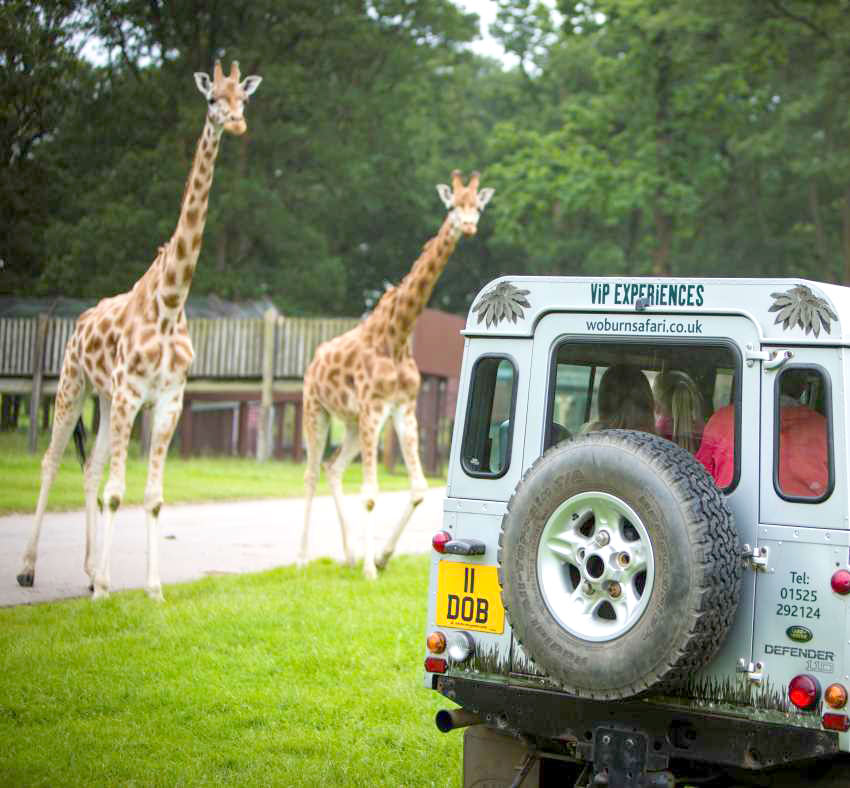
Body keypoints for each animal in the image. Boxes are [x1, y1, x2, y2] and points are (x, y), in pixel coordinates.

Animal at [17, 61, 262, 600]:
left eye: (244, 99)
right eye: (212, 99)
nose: (236, 123)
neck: (170, 302)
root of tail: (78, 321)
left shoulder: (167, 399)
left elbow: (151, 496)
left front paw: (150, 589)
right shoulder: (132, 392)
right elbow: (117, 491)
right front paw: (110, 586)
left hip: (105, 399)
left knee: (89, 467)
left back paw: (89, 571)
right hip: (73, 385)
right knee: (50, 461)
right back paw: (29, 569)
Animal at [302, 171, 494, 580]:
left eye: (477, 206)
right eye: (453, 205)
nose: (469, 226)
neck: (398, 334)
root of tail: (314, 361)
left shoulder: (402, 409)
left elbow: (419, 488)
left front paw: (379, 557)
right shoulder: (374, 409)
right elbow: (371, 493)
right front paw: (370, 570)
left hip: (352, 424)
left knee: (332, 467)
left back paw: (348, 555)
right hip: (318, 411)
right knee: (311, 474)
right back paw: (301, 558)